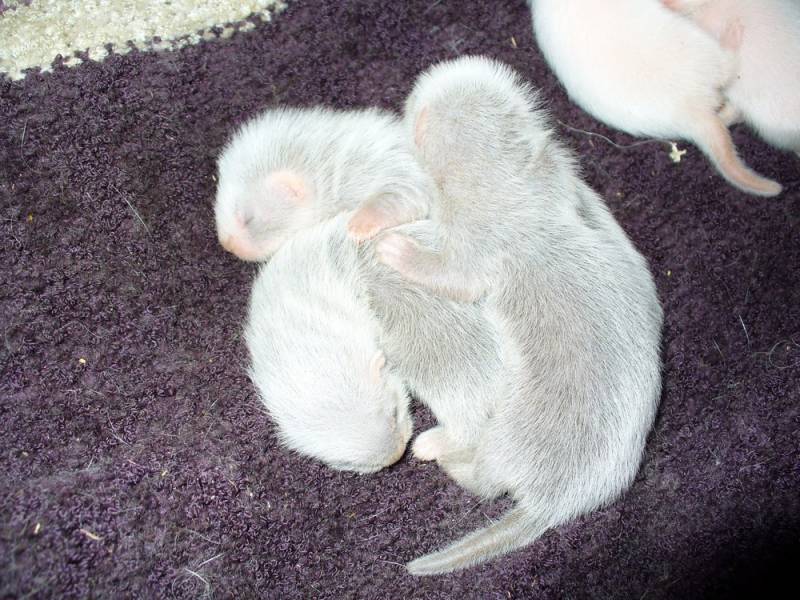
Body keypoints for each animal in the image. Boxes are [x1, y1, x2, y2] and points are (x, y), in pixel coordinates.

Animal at [372, 56, 664, 575]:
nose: (411, 89)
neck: (517, 193)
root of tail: (554, 502)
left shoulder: (481, 242)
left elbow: (456, 274)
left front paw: (397, 248)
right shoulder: (555, 178)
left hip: (507, 431)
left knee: (485, 480)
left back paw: (439, 451)